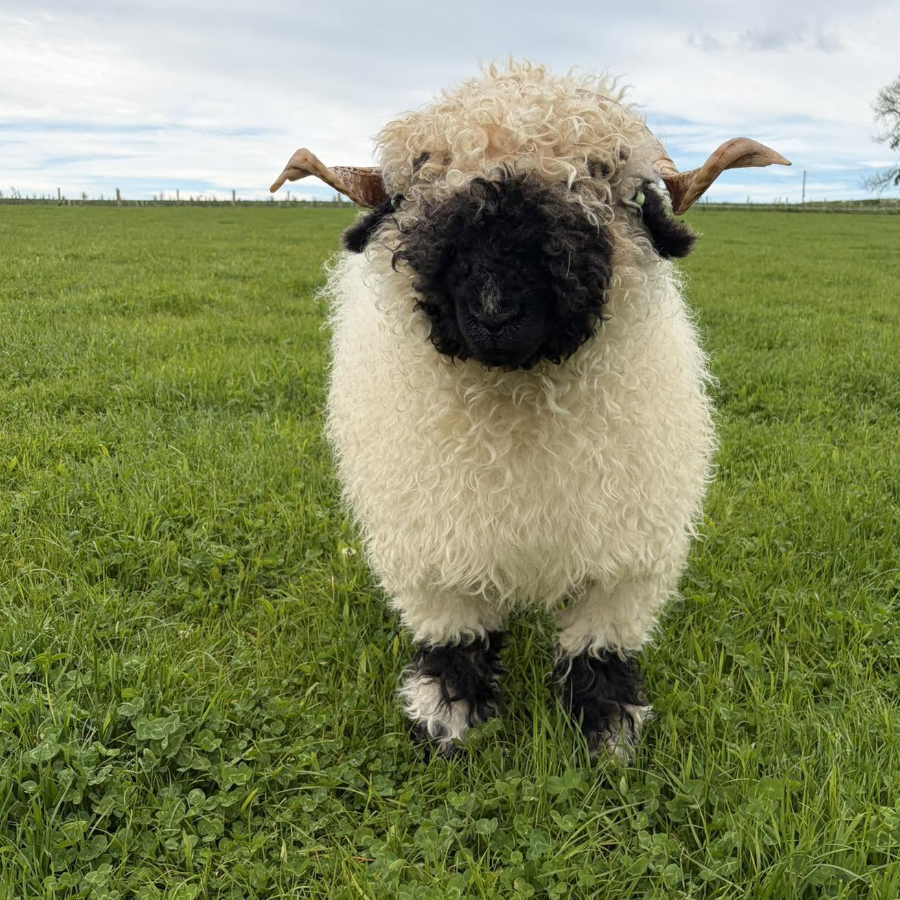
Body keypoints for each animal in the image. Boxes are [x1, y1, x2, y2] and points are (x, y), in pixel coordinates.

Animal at [271, 61, 789, 760]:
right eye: (414, 191)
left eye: (613, 186)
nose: (495, 310)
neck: (519, 415)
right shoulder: (434, 541)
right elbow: (454, 631)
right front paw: (447, 711)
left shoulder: (626, 548)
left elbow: (600, 640)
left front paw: (608, 723)